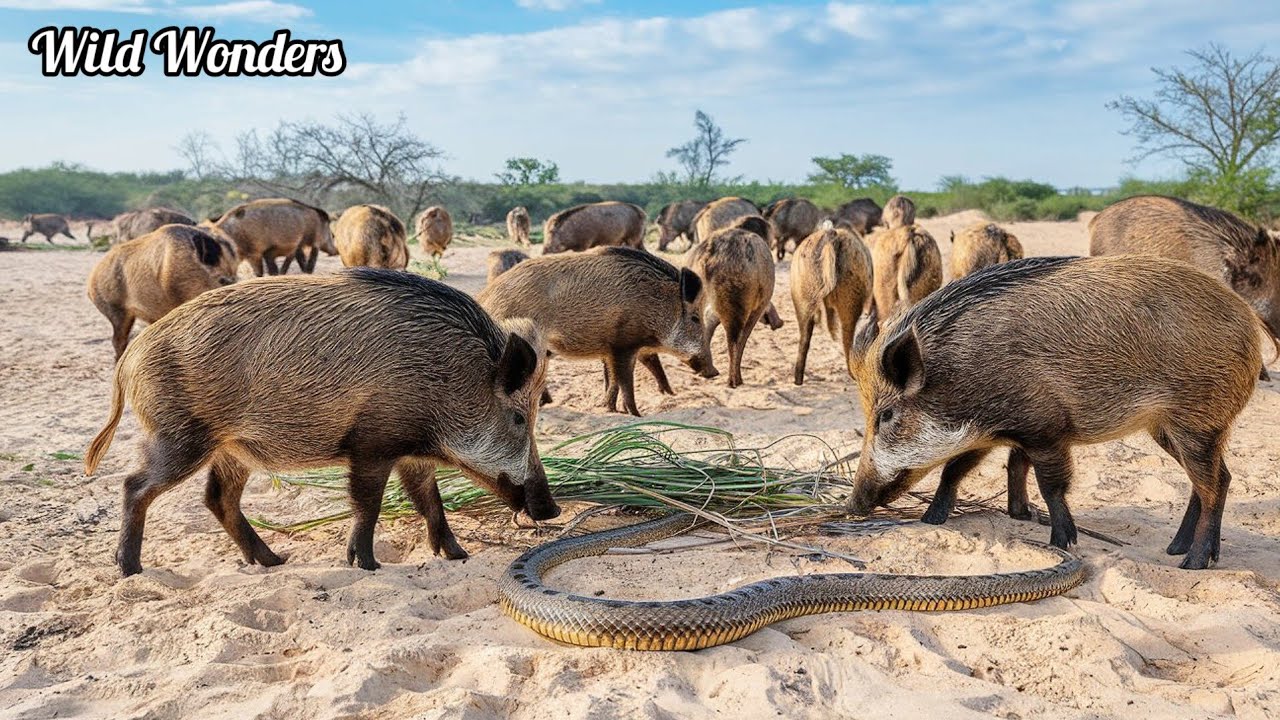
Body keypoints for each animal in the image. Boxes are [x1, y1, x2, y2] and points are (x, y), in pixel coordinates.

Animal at [84, 269, 558, 576]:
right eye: (519, 417)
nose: (552, 509)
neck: (450, 379)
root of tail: (130, 358)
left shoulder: (411, 452)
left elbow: (430, 500)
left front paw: (458, 556)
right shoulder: (372, 442)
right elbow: (368, 502)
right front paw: (366, 565)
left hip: (231, 449)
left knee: (218, 498)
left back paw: (273, 561)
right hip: (179, 436)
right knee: (135, 486)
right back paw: (130, 569)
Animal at [478, 246, 710, 416]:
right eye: (696, 318)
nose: (713, 371)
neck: (655, 306)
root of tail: (485, 296)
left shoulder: (611, 349)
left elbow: (613, 379)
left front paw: (611, 409)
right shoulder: (623, 344)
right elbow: (625, 380)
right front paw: (636, 414)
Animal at [685, 225, 777, 388]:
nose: (778, 322)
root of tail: (708, 256)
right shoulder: (758, 306)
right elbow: (744, 337)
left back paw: (709, 372)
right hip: (735, 290)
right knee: (734, 334)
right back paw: (734, 381)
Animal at [846, 255, 1268, 569]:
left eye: (885, 415)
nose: (851, 507)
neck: (957, 374)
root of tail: (1250, 324)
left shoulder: (1046, 429)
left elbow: (1050, 484)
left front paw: (1061, 542)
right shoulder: (987, 431)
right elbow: (961, 469)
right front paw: (935, 520)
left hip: (1197, 421)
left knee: (1214, 484)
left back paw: (1192, 563)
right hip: (1170, 428)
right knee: (1215, 479)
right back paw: (1175, 548)